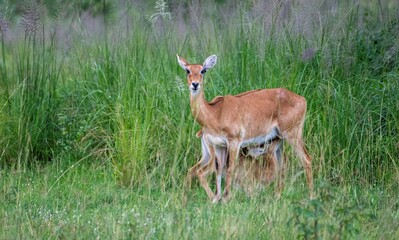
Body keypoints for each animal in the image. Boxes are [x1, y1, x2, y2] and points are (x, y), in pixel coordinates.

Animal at [177, 54, 312, 202]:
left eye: (203, 70)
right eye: (187, 70)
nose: (195, 84)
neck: (215, 113)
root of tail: (302, 99)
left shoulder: (234, 142)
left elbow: (230, 169)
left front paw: (225, 198)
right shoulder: (219, 145)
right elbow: (219, 171)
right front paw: (217, 198)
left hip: (293, 135)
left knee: (306, 159)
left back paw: (311, 196)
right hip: (279, 141)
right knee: (281, 167)